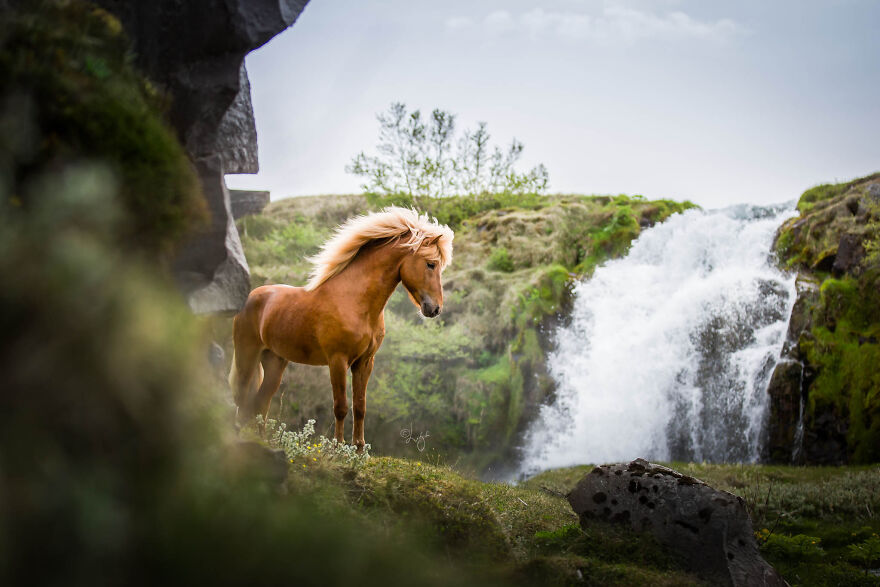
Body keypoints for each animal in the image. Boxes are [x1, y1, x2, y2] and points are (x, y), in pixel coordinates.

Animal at [228, 206, 454, 450]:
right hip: (247, 357)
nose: (435, 309)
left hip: (275, 362)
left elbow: (360, 406)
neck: (354, 300)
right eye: (430, 264)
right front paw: (337, 448)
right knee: (242, 400)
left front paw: (358, 450)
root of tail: (251, 295)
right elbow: (341, 406)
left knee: (261, 402)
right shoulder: (338, 360)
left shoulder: (364, 362)